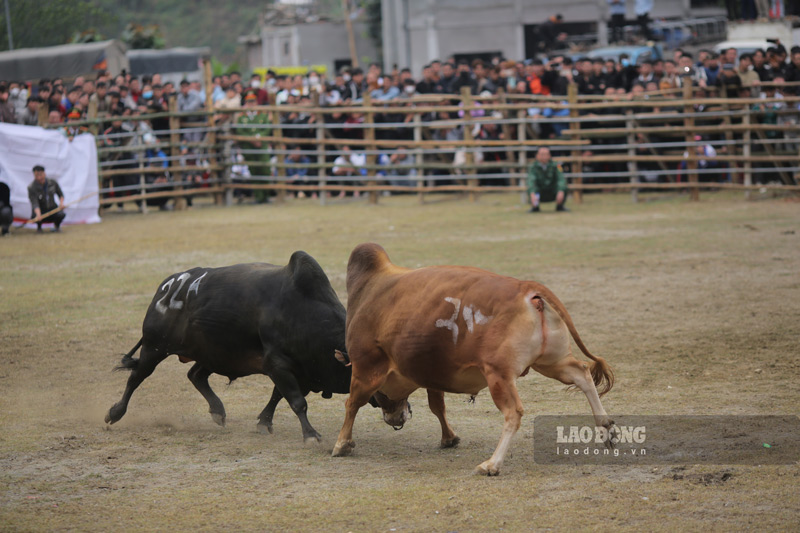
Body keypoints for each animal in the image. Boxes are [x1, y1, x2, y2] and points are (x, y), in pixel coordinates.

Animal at [104, 251, 360, 442]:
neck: (303, 310)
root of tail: (165, 289)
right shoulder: (277, 364)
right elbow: (297, 401)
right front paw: (310, 434)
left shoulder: (299, 371)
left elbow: (278, 395)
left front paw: (264, 422)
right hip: (154, 347)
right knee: (136, 377)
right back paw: (115, 412)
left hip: (213, 354)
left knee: (195, 375)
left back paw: (218, 411)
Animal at [330, 242, 612, 474]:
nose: (395, 420)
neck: (370, 291)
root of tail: (527, 288)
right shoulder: (431, 373)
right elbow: (438, 406)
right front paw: (449, 438)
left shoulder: (366, 368)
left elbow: (352, 403)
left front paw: (342, 443)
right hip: (552, 362)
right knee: (582, 374)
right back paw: (606, 428)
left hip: (499, 374)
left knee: (514, 413)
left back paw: (492, 464)